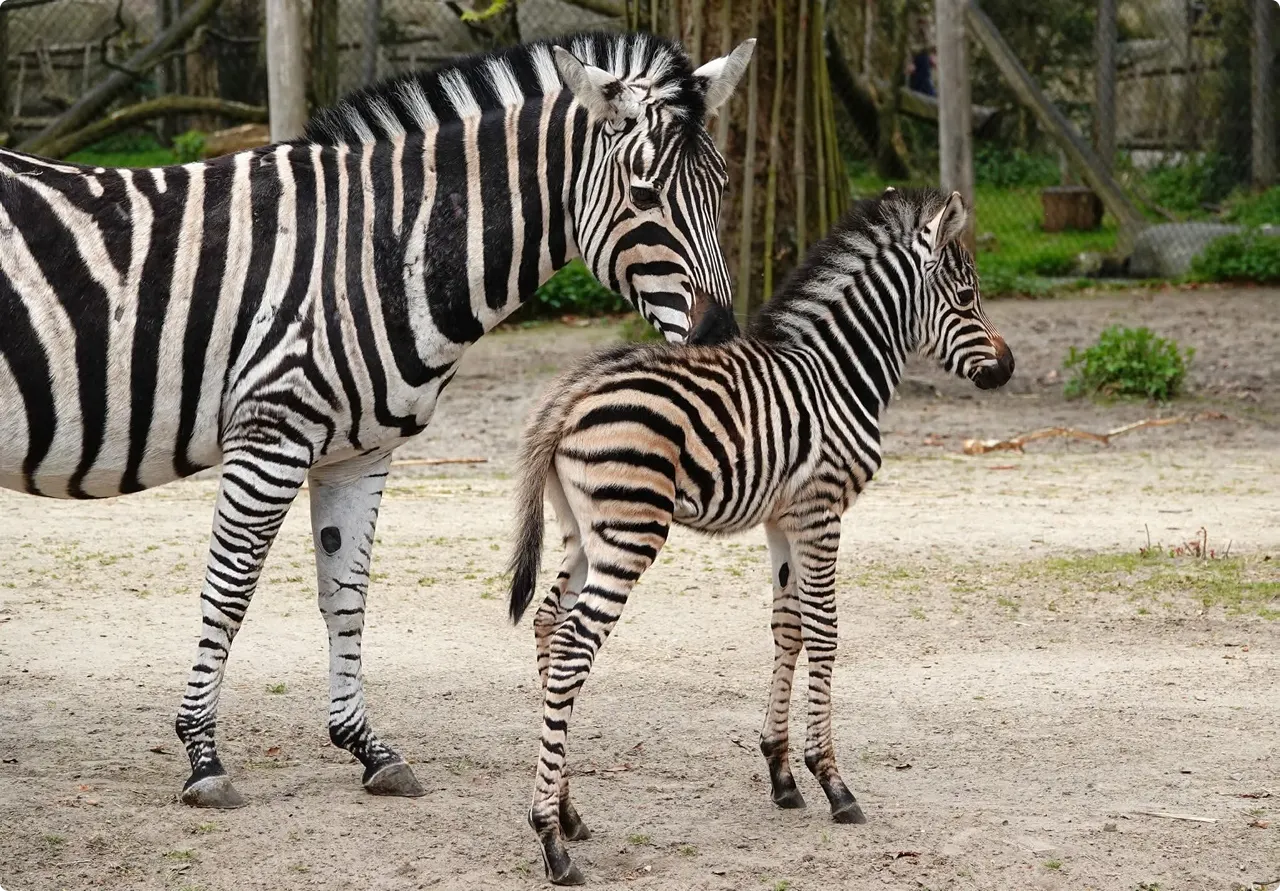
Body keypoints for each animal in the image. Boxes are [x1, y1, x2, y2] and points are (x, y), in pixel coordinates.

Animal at [0, 31, 755, 809]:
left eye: (722, 184)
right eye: (644, 193)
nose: (719, 339)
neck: (378, 248)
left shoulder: (356, 451)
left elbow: (346, 595)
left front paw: (366, 746)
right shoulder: (271, 434)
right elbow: (229, 593)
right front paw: (203, 755)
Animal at [506, 187, 1015, 884]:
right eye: (965, 298)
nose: (1008, 368)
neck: (839, 372)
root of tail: (570, 393)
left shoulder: (783, 519)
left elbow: (788, 627)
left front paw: (780, 772)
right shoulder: (821, 510)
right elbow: (826, 631)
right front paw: (833, 783)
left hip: (583, 533)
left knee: (547, 624)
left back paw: (570, 812)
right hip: (629, 533)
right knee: (573, 645)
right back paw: (551, 842)